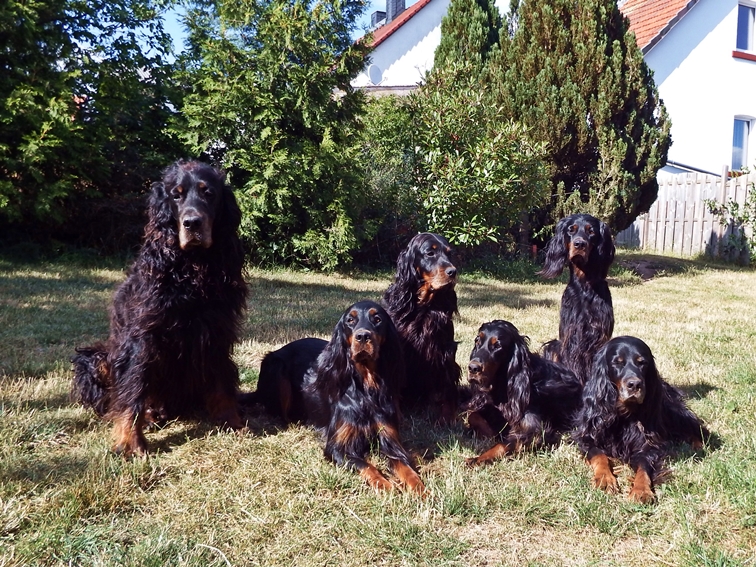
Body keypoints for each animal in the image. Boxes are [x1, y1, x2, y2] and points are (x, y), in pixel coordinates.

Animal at [248, 302, 426, 496]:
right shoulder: (336, 448)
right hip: (276, 366)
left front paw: (421, 489)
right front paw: (385, 485)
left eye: (377, 319)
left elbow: (406, 467)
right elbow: (366, 465)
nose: (363, 336)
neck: (365, 388)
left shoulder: (390, 439)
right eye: (350, 320)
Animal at [384, 233, 460, 424]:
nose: (453, 272)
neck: (423, 306)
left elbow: (446, 386)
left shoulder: (444, 349)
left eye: (449, 253)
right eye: (430, 253)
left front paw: (447, 417)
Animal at [464, 320, 580, 466]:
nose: (473, 368)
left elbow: (504, 444)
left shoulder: (535, 430)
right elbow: (472, 415)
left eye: (497, 346)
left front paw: (478, 459)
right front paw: (490, 432)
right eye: (477, 340)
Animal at [536, 214, 616, 386]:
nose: (579, 244)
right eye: (570, 230)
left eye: (591, 231)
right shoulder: (570, 337)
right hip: (553, 346)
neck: (584, 286)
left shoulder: (599, 336)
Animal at [572, 336, 708, 504]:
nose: (635, 384)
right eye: (617, 362)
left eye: (642, 362)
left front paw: (641, 490)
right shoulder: (586, 437)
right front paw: (605, 478)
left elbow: (644, 467)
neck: (623, 414)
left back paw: (698, 445)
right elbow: (599, 455)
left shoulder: (647, 446)